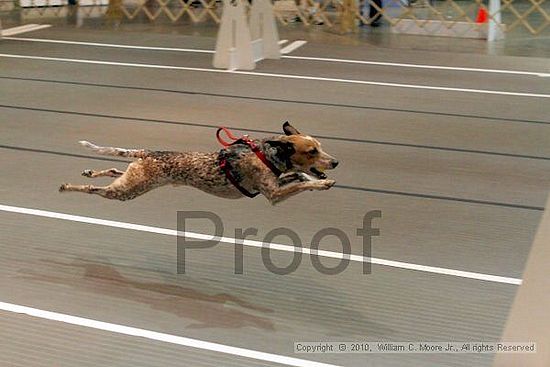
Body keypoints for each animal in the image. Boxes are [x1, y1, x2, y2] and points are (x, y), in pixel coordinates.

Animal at [58, 123, 338, 204]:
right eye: (312, 151)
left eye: (320, 146)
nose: (335, 162)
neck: (266, 155)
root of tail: (149, 152)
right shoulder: (274, 195)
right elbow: (303, 183)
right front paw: (322, 184)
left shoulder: (277, 183)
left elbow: (300, 177)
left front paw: (313, 178)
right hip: (127, 191)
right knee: (95, 190)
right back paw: (69, 186)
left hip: (133, 178)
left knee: (113, 169)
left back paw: (90, 171)